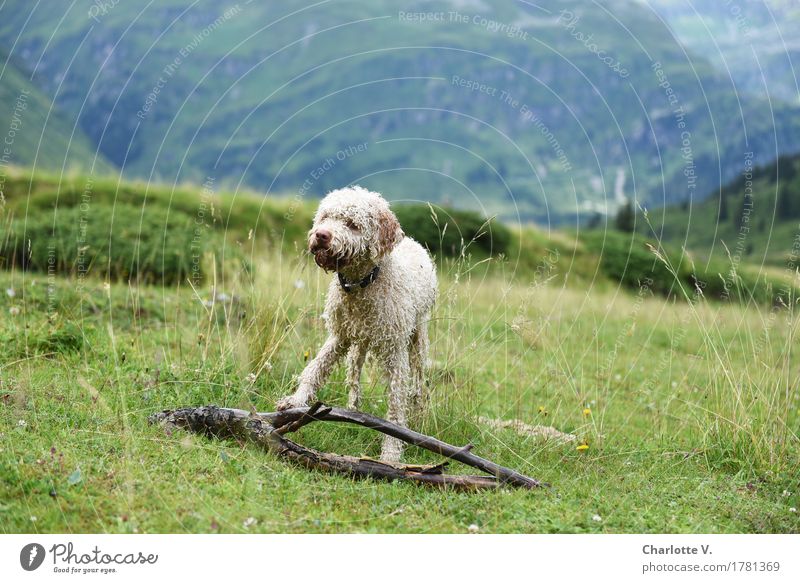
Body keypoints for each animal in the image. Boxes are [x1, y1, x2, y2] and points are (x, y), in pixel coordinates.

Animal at [276, 186, 438, 460]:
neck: (361, 286)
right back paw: (352, 410)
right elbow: (315, 369)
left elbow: (396, 404)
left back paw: (419, 415)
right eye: (325, 217)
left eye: (353, 224)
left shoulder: (395, 351)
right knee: (353, 374)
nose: (321, 235)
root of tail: (412, 241)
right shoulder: (339, 335)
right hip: (359, 342)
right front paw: (296, 401)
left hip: (418, 337)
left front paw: (392, 453)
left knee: (418, 383)